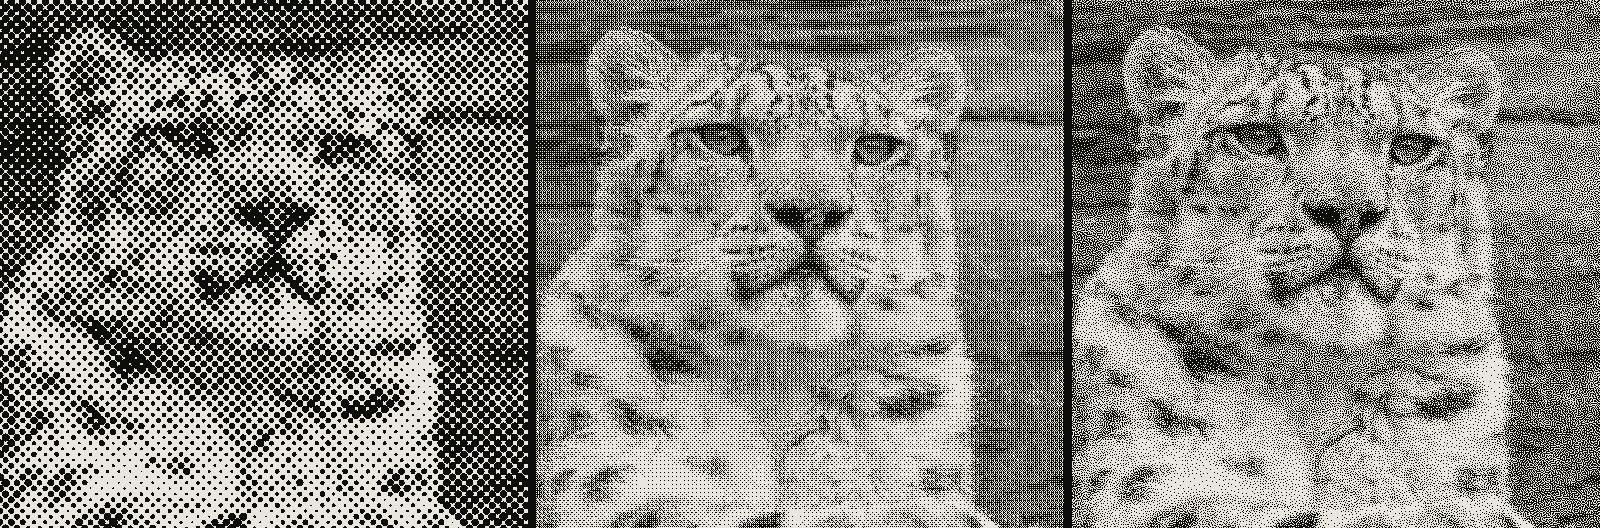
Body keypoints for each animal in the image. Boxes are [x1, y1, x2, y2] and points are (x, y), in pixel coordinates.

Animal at [1070, 26, 1534, 528]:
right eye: (1255, 136)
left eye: (1413, 147)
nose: (1349, 210)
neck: (1317, 390)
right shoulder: (1151, 486)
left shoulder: (1466, 493)